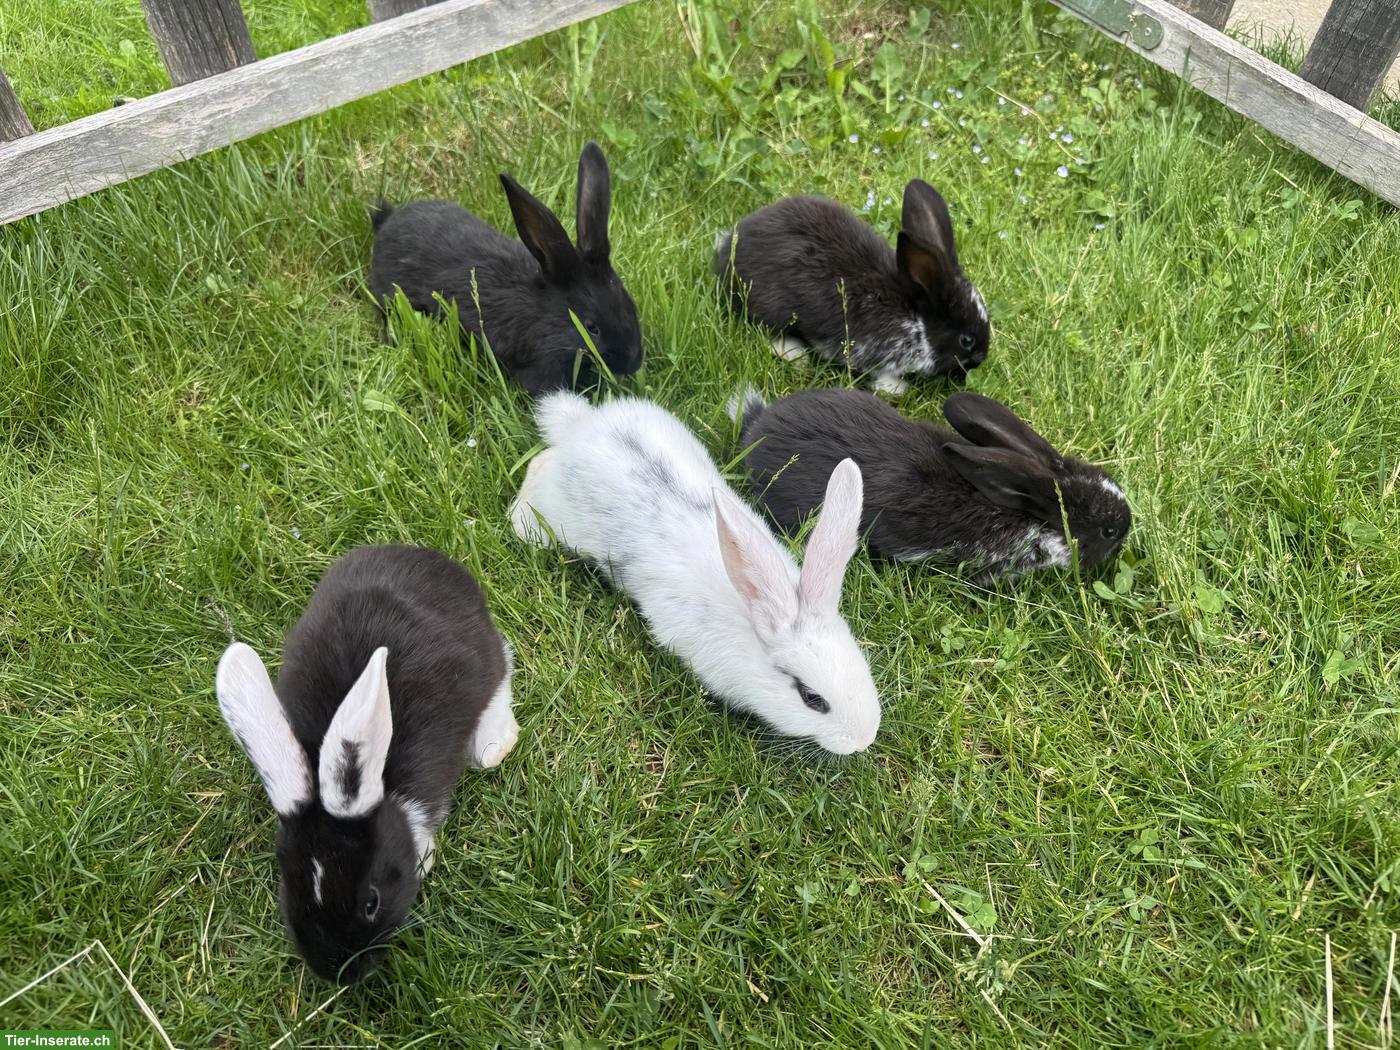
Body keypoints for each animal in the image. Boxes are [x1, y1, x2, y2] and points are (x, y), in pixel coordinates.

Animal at [213, 545, 520, 984]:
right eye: (289, 888)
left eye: (371, 902)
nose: (339, 973)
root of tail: (421, 556)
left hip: (486, 658)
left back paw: (495, 747)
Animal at [715, 179, 989, 396]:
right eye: (966, 340)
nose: (980, 359)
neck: (915, 319)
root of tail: (728, 250)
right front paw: (896, 389)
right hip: (774, 307)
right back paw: (794, 353)